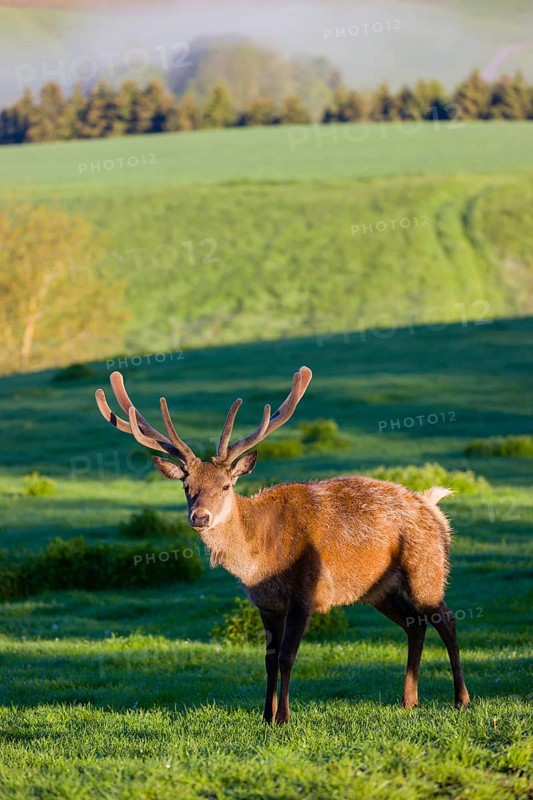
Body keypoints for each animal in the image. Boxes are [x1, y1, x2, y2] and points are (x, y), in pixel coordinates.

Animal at [95, 367, 470, 724]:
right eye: (187, 486)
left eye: (226, 485)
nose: (200, 517)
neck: (260, 562)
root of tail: (432, 505)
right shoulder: (266, 603)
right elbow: (269, 660)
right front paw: (265, 716)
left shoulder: (305, 592)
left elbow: (289, 656)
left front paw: (284, 717)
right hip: (379, 589)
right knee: (414, 624)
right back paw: (409, 700)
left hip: (426, 568)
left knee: (445, 619)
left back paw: (461, 699)